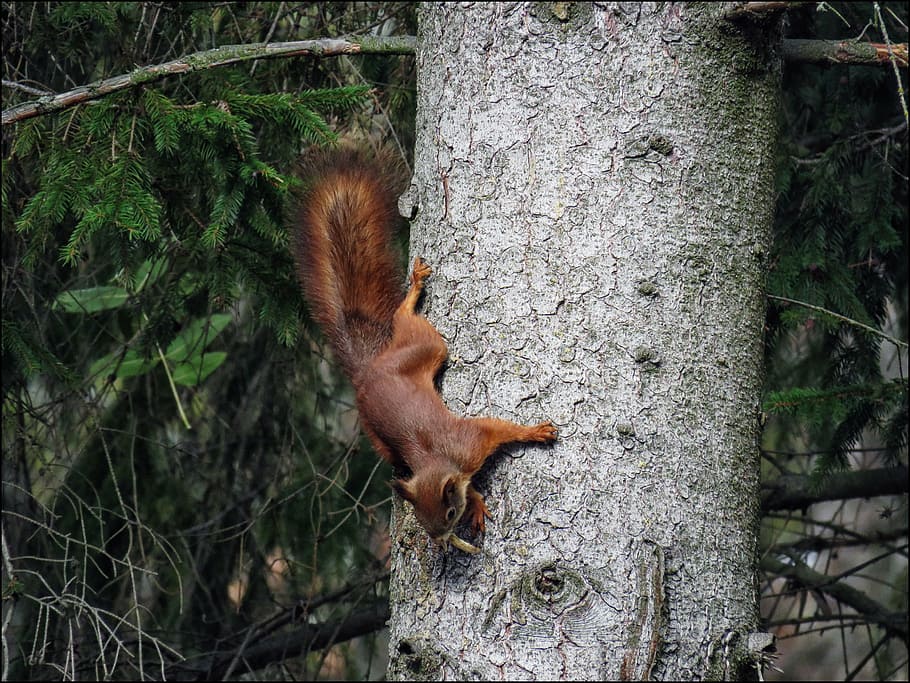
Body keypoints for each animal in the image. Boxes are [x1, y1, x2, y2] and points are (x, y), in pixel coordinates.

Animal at [293, 145, 557, 553]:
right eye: (422, 519)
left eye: (448, 514)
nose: (441, 540)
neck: (438, 461)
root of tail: (367, 370)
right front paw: (477, 502)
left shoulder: (472, 440)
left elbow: (501, 428)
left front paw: (534, 434)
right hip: (391, 410)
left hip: (424, 349)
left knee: (409, 323)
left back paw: (414, 288)